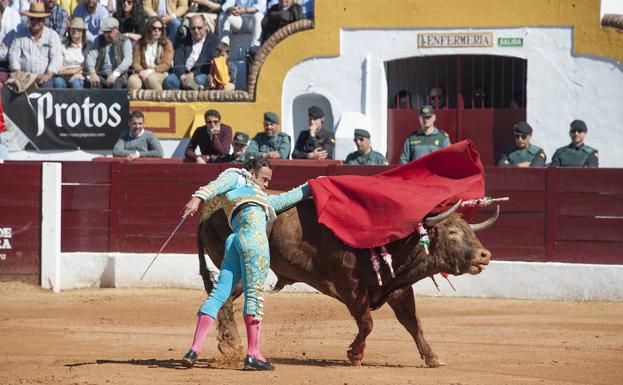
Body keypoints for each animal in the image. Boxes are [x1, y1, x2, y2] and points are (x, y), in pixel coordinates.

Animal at [195, 198, 498, 366]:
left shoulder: (398, 290)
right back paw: (231, 344)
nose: (485, 255)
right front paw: (355, 354)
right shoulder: (350, 289)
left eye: (470, 230)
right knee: (223, 300)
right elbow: (367, 323)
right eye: (452, 232)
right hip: (239, 268)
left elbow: (413, 324)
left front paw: (432, 357)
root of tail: (209, 209)